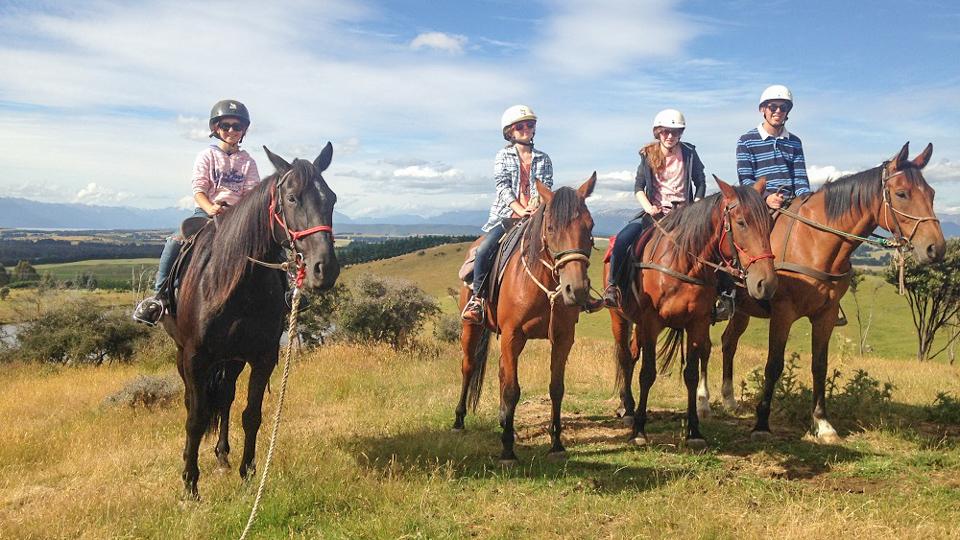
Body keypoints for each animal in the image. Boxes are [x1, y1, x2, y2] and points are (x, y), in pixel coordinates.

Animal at [164, 142, 342, 498]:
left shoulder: (263, 357)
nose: (325, 268)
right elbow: (195, 417)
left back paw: (222, 455)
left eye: (330, 198)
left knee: (226, 397)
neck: (234, 283)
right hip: (185, 355)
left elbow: (252, 415)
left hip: (231, 360)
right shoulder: (194, 357)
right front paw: (190, 485)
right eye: (292, 198)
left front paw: (248, 475)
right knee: (196, 403)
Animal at [454, 175, 596, 462]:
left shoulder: (562, 338)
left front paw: (556, 443)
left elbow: (556, 388)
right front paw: (507, 449)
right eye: (550, 228)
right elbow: (512, 389)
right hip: (470, 326)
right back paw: (459, 420)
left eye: (591, 226)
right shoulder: (513, 334)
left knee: (499, 369)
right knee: (469, 366)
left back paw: (502, 420)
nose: (576, 289)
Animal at [612, 177, 776, 448]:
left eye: (770, 224)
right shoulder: (651, 322)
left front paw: (694, 431)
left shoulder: (696, 323)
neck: (682, 263)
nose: (766, 283)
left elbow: (690, 373)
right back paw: (627, 410)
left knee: (633, 353)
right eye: (741, 222)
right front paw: (639, 431)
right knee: (626, 357)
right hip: (620, 317)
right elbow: (647, 374)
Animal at [716, 143, 940, 442]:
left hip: (742, 310)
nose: (935, 248)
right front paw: (762, 423)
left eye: (932, 193)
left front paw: (822, 424)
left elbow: (819, 365)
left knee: (729, 341)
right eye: (902, 193)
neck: (814, 242)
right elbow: (773, 365)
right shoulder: (783, 313)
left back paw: (729, 399)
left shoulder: (826, 314)